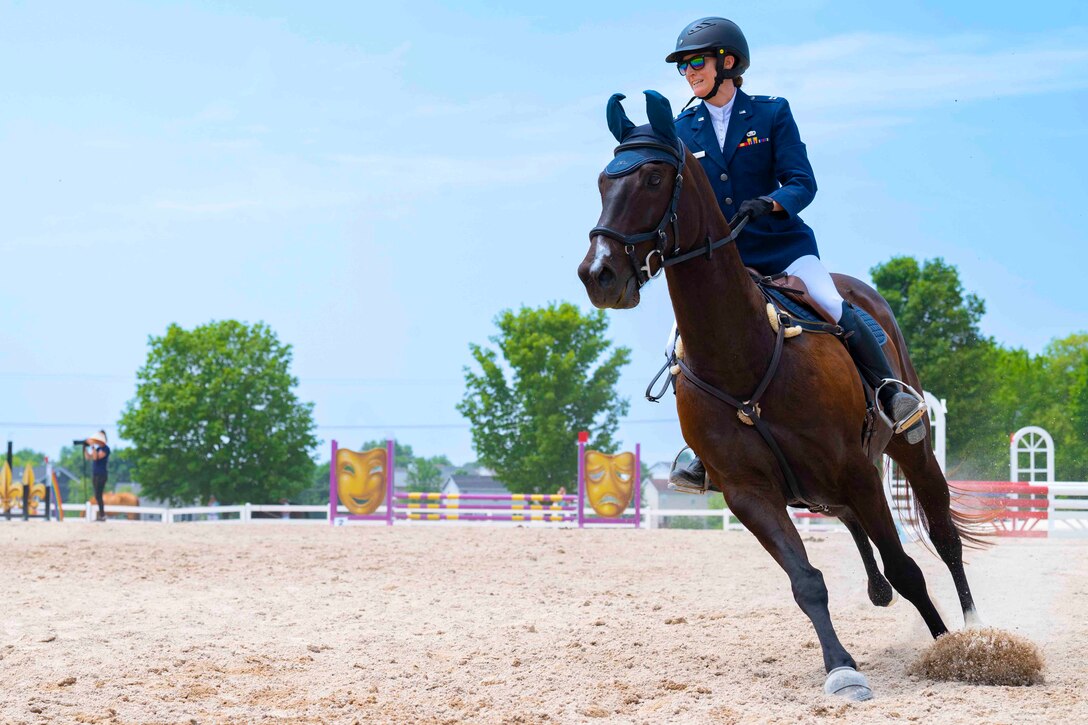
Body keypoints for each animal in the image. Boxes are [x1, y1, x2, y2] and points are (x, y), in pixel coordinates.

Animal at [578, 91, 987, 701]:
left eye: (652, 178)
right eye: (604, 181)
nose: (598, 275)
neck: (739, 352)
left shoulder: (855, 470)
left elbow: (907, 567)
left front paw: (948, 647)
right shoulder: (748, 493)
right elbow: (806, 581)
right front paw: (841, 669)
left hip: (907, 449)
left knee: (942, 536)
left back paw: (976, 630)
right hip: (821, 488)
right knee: (855, 529)